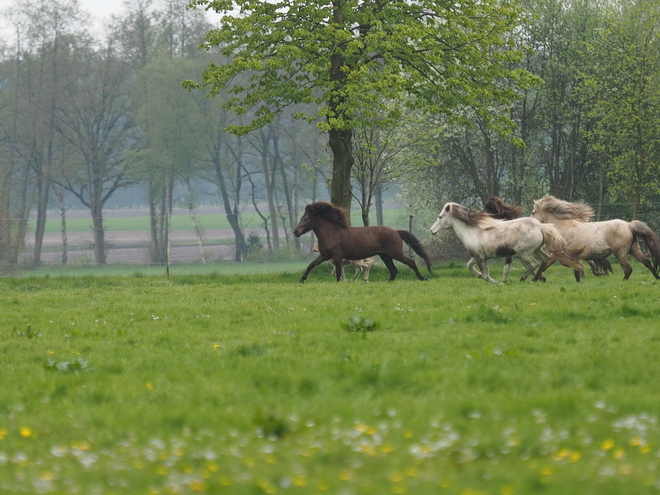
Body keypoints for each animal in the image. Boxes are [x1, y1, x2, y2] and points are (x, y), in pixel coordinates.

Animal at [294, 202, 434, 282]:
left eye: (306, 218)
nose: (296, 232)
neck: (331, 233)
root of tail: (396, 231)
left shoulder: (337, 257)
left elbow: (339, 273)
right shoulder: (325, 255)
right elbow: (311, 265)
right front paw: (301, 280)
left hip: (395, 254)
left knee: (410, 262)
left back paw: (423, 278)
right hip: (385, 256)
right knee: (393, 270)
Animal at [434, 202, 584, 284]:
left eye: (440, 217)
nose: (432, 230)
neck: (472, 231)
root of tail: (540, 226)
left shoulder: (480, 258)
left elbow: (486, 275)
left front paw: (498, 283)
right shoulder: (477, 257)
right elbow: (470, 267)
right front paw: (481, 276)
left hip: (524, 253)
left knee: (533, 264)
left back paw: (524, 278)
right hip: (536, 250)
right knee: (544, 259)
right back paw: (537, 278)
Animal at [532, 196, 660, 280]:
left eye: (533, 212)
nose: (531, 222)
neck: (563, 227)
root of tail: (629, 225)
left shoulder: (558, 253)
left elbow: (544, 265)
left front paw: (536, 278)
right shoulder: (575, 255)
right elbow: (577, 270)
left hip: (621, 252)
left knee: (628, 269)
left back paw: (623, 281)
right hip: (634, 249)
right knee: (647, 263)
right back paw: (657, 278)